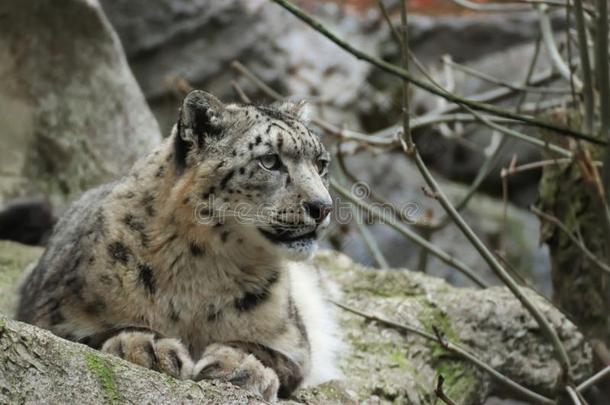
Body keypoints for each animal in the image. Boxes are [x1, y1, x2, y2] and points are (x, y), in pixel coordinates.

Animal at [17, 90, 342, 400]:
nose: (323, 206)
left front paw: (240, 365)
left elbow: (274, 355)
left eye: (321, 164)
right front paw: (145, 346)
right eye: (270, 160)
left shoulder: (295, 342)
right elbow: (94, 333)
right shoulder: (52, 316)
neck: (207, 268)